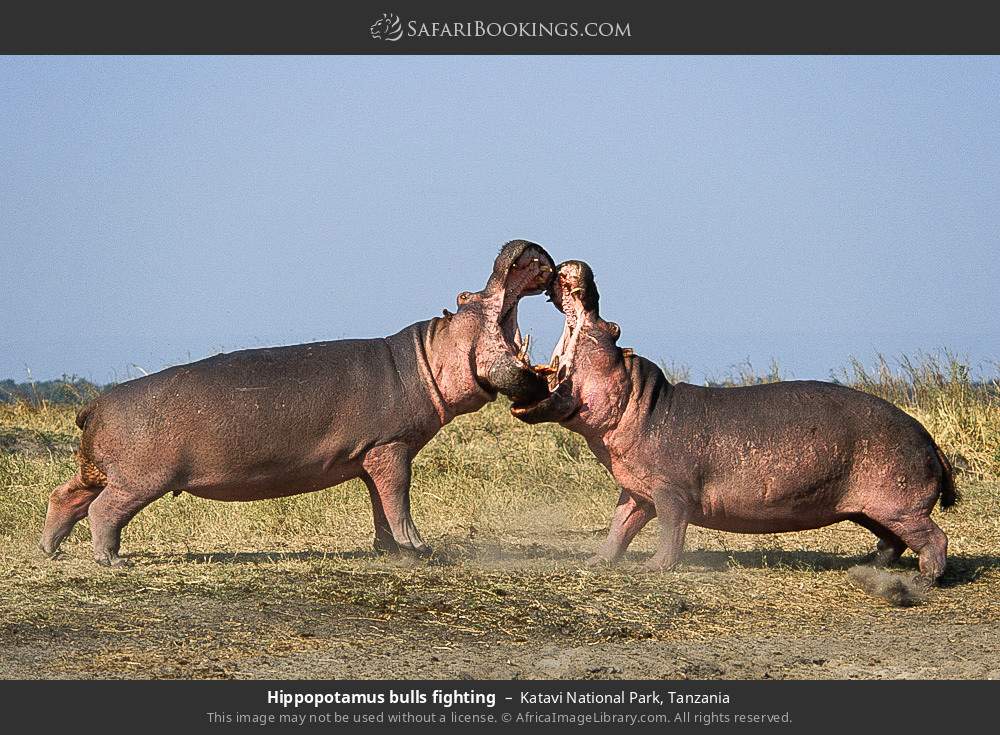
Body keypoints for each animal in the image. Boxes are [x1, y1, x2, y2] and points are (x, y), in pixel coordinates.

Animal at [40, 240, 554, 565]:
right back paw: (112, 562)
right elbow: (399, 496)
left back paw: (51, 549)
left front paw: (389, 550)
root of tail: (94, 405)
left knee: (65, 495)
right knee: (104, 511)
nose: (523, 246)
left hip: (98, 470)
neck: (429, 354)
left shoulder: (372, 454)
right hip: (139, 479)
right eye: (467, 296)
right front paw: (421, 550)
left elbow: (380, 502)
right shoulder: (391, 446)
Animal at [511, 261, 957, 586]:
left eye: (612, 328)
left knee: (934, 537)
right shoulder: (637, 491)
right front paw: (596, 561)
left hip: (899, 505)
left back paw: (925, 581)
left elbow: (671, 528)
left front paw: (654, 568)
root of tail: (928, 437)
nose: (579, 266)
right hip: (869, 508)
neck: (640, 401)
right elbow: (620, 526)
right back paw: (865, 565)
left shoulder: (670, 490)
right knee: (893, 541)